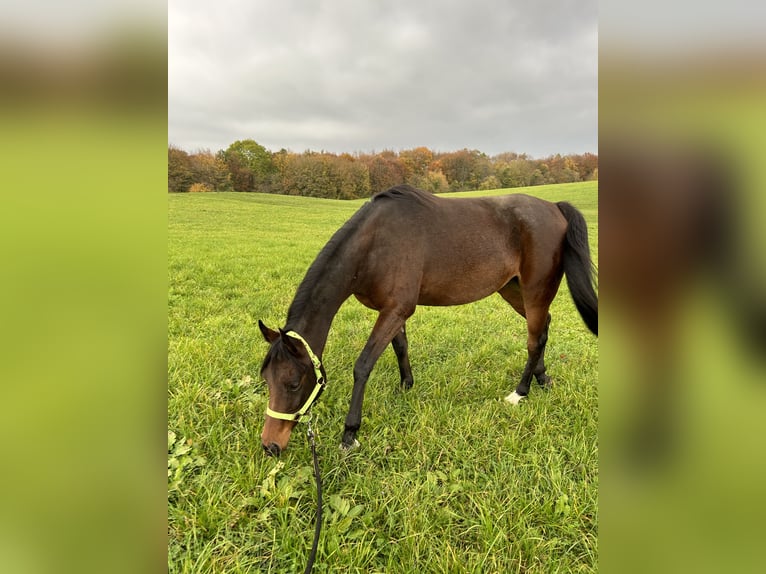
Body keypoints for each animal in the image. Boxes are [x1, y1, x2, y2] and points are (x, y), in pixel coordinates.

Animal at [258, 183, 600, 454]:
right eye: (266, 380)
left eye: (292, 383)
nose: (270, 446)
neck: (374, 244)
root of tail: (554, 208)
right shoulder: (391, 311)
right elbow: (400, 347)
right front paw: (406, 387)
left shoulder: (396, 309)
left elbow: (363, 365)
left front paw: (350, 433)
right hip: (513, 290)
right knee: (543, 328)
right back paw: (542, 378)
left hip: (535, 290)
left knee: (534, 339)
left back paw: (520, 392)